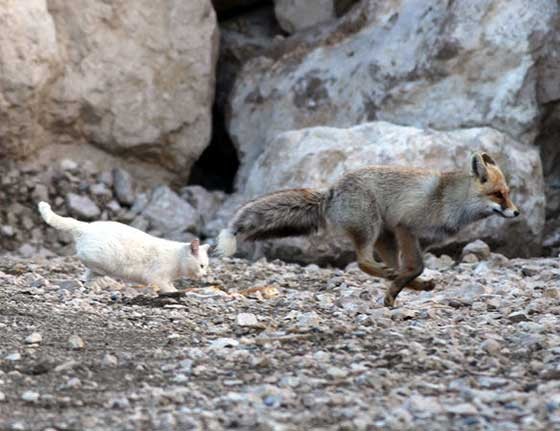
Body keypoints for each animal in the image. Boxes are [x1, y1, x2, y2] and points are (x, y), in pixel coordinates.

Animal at [38, 202, 210, 294]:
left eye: (206, 267)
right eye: (202, 266)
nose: (204, 275)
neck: (178, 260)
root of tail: (86, 226)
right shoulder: (157, 278)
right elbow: (169, 289)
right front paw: (176, 293)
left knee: (87, 276)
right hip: (103, 258)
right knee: (87, 262)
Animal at [218, 152, 520, 308]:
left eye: (508, 194)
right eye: (498, 195)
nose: (516, 212)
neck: (449, 200)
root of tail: (331, 191)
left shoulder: (418, 239)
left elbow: (412, 269)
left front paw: (399, 289)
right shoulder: (406, 226)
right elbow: (415, 267)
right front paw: (396, 290)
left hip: (383, 237)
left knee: (390, 267)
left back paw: (406, 283)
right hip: (371, 228)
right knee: (363, 262)